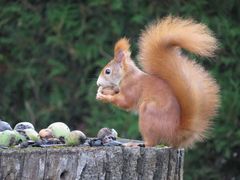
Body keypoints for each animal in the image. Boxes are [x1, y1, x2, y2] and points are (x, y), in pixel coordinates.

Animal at [95, 16, 219, 148]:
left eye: (107, 71)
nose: (98, 83)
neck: (126, 76)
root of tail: (174, 133)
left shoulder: (132, 88)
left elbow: (124, 102)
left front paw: (103, 97)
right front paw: (103, 91)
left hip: (148, 112)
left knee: (151, 143)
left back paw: (135, 144)